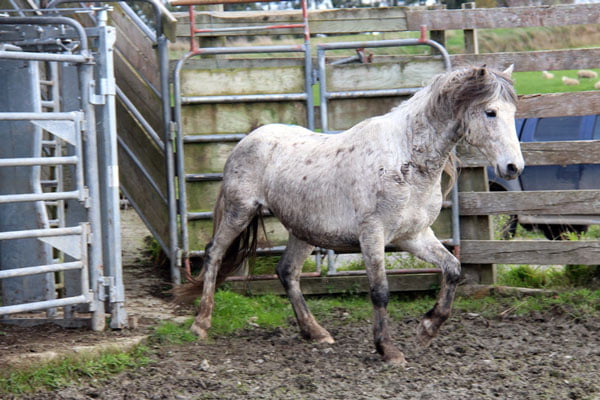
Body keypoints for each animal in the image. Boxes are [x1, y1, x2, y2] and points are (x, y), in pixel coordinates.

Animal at [175, 65, 524, 366]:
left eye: (513, 113)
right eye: (490, 112)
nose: (513, 167)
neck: (406, 160)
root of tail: (247, 141)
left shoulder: (414, 236)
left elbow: (452, 269)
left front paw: (427, 328)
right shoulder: (373, 235)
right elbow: (380, 291)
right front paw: (388, 350)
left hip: (302, 231)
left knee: (287, 271)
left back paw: (315, 332)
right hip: (240, 211)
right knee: (215, 254)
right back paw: (201, 323)